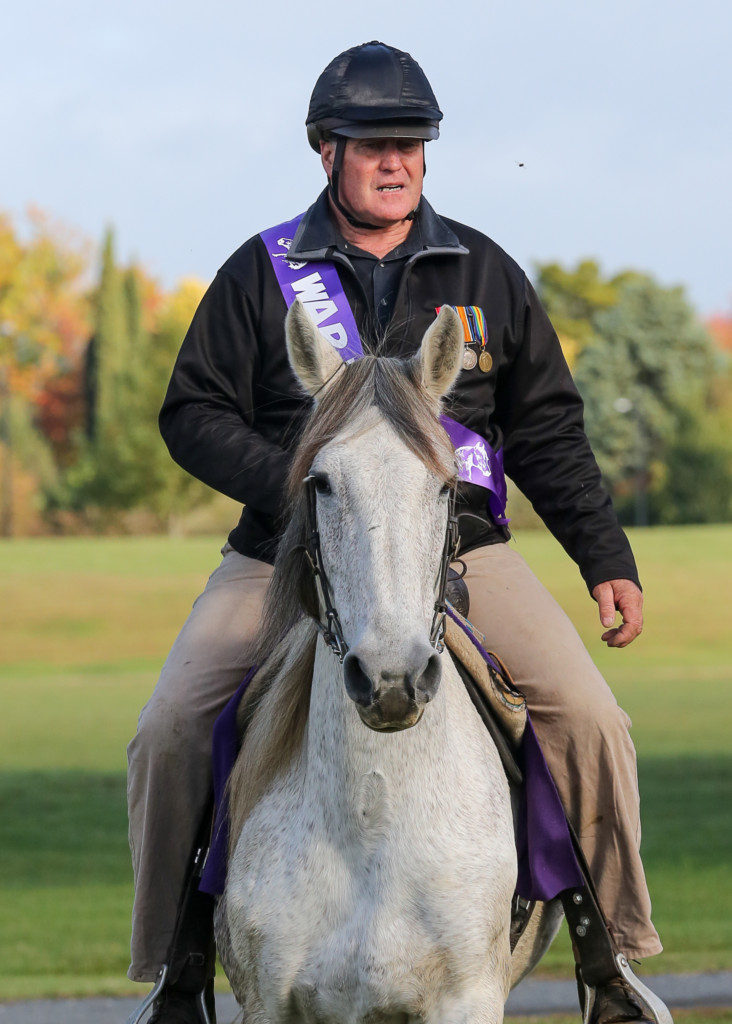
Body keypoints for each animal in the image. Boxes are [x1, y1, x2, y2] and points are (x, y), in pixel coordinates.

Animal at [214, 303, 565, 1024]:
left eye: (445, 485)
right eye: (320, 482)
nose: (392, 679)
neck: (372, 823)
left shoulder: (469, 1000)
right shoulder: (270, 1003)